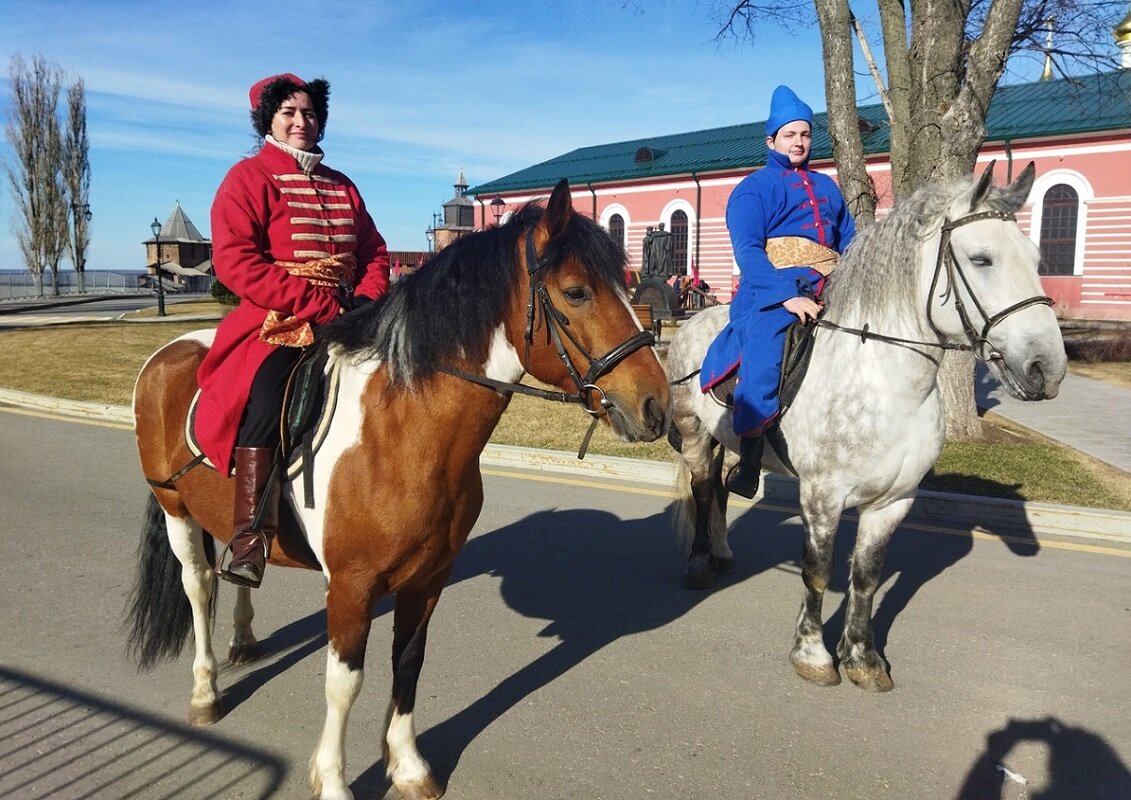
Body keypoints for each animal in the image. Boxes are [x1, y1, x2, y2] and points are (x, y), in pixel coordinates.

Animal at [127, 181, 665, 800]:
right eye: (576, 292)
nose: (657, 405)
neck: (407, 432)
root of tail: (171, 351)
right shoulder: (352, 587)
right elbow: (343, 684)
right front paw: (334, 781)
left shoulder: (429, 578)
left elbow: (408, 663)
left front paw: (407, 765)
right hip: (175, 510)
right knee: (199, 586)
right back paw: (205, 690)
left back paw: (243, 635)